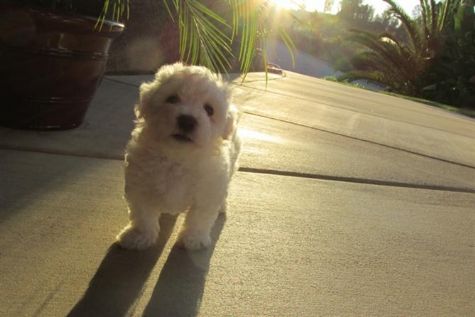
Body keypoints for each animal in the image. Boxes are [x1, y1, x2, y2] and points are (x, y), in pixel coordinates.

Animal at [115, 62, 242, 249]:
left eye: (209, 109)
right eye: (172, 99)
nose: (187, 120)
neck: (178, 157)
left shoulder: (208, 190)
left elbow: (200, 217)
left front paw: (193, 239)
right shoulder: (140, 185)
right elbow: (143, 213)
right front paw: (139, 236)